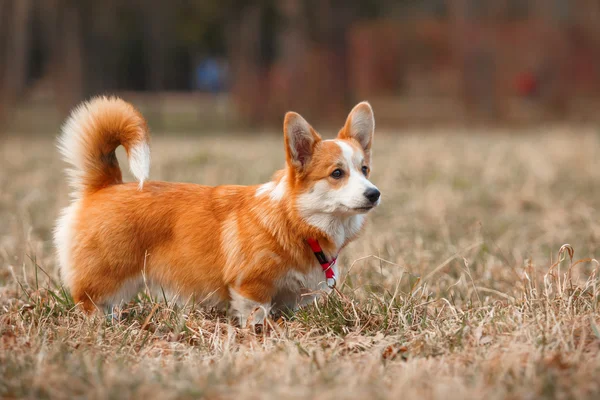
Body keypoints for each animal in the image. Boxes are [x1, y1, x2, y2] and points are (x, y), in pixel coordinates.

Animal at [52, 96, 380, 324]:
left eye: (365, 169)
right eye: (337, 173)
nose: (374, 194)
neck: (296, 221)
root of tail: (106, 185)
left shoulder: (289, 300)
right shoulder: (251, 289)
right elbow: (256, 316)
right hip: (105, 279)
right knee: (90, 302)